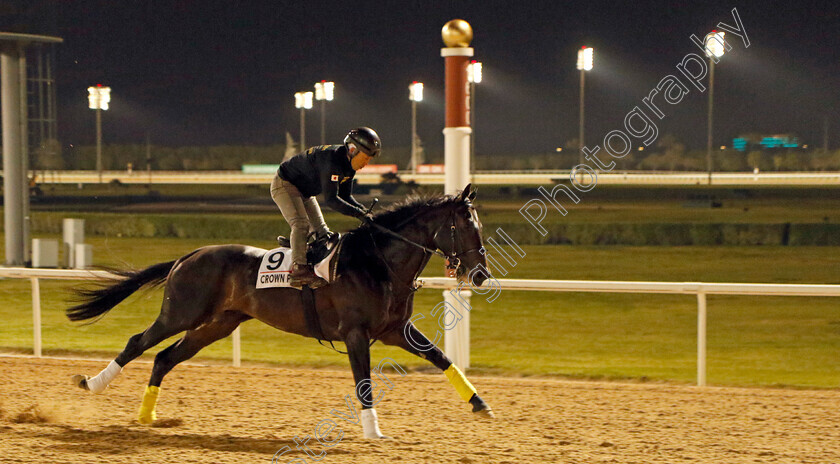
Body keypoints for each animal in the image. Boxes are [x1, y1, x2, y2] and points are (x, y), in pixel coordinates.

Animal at [72, 184, 496, 438]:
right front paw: (372, 430)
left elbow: (441, 358)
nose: (480, 274)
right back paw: (93, 384)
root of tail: (189, 254)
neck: (378, 261)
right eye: (466, 226)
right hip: (182, 313)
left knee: (163, 357)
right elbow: (363, 382)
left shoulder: (395, 329)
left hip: (217, 324)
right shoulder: (355, 333)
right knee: (138, 342)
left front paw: (480, 404)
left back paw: (147, 416)